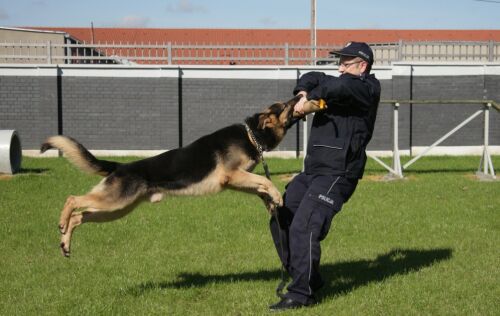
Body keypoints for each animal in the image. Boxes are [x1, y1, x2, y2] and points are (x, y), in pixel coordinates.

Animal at [42, 95, 300, 256]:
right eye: (283, 105)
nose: (299, 96)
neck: (251, 134)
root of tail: (120, 166)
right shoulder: (231, 176)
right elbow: (265, 180)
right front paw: (277, 196)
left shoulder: (237, 180)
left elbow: (260, 187)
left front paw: (271, 202)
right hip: (114, 201)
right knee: (73, 199)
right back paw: (62, 221)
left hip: (116, 209)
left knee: (80, 216)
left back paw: (65, 240)